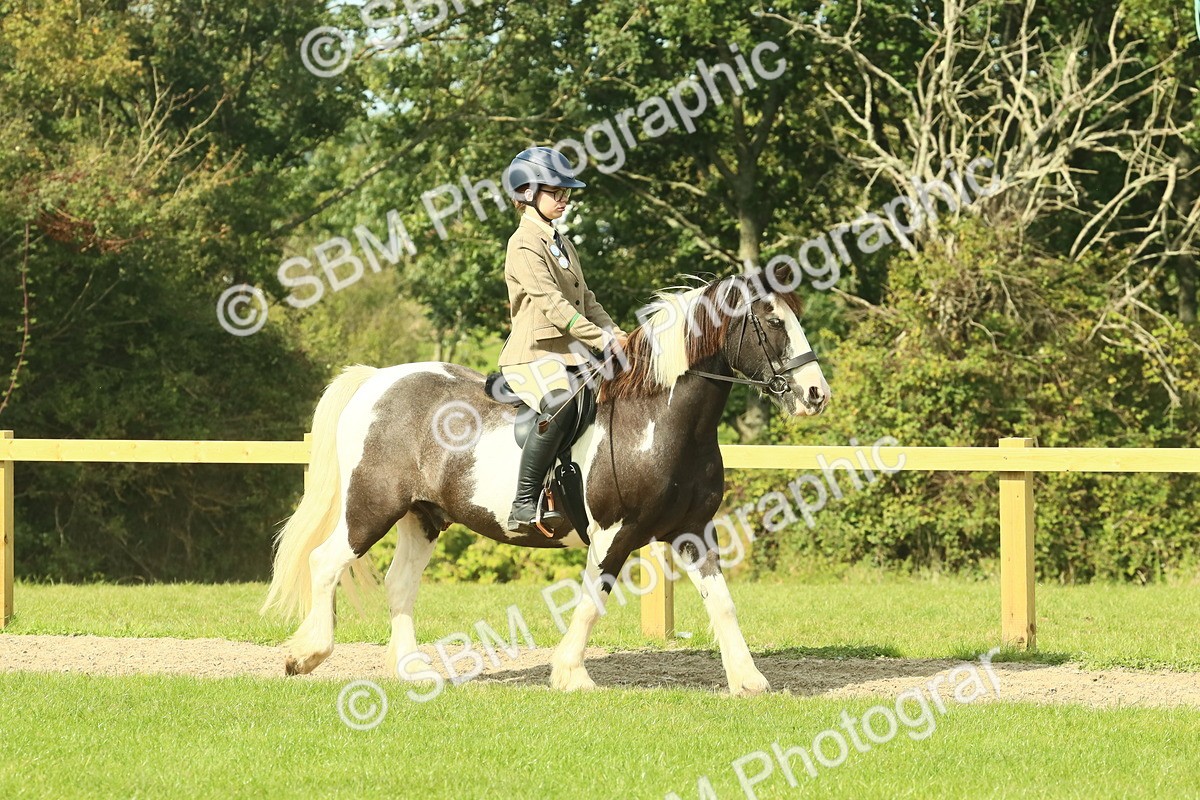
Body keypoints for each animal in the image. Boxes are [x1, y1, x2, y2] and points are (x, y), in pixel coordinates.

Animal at [261, 267, 831, 696]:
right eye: (771, 320)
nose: (816, 393)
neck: (659, 420)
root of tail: (378, 380)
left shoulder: (692, 530)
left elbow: (723, 604)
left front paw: (749, 681)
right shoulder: (614, 531)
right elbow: (593, 598)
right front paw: (571, 674)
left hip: (423, 516)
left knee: (400, 584)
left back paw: (413, 671)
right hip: (372, 506)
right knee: (326, 562)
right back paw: (305, 655)